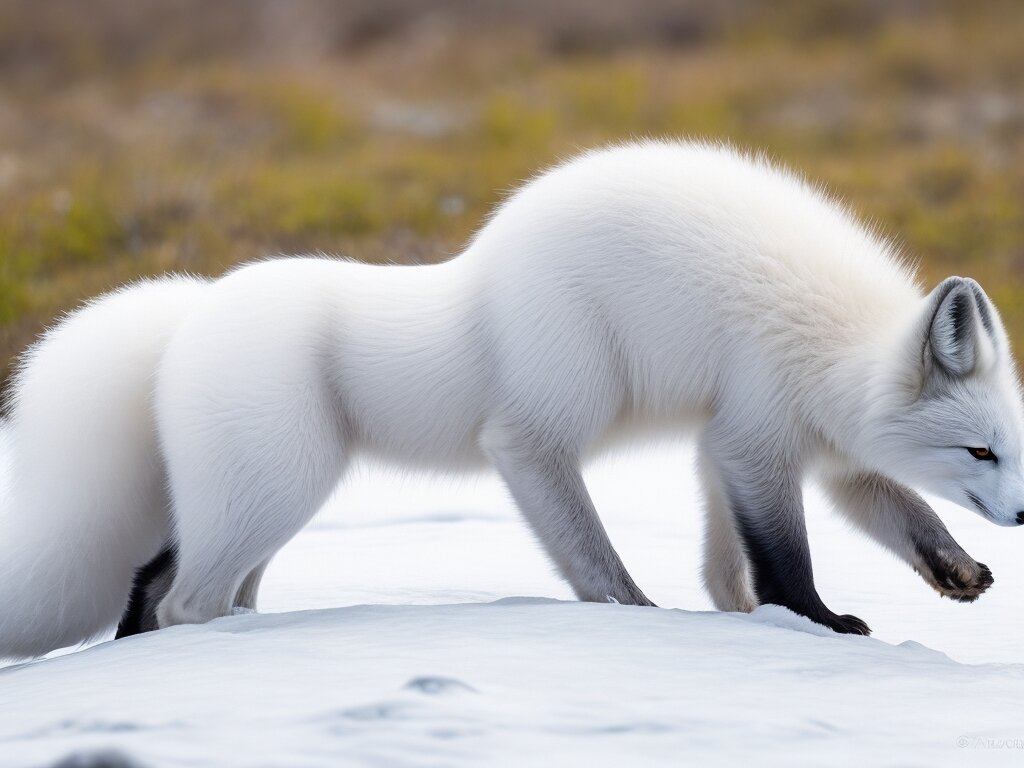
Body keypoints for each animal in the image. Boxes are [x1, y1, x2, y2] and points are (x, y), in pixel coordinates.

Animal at [2, 140, 1024, 663]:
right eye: (978, 453)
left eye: (1010, 448)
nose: (1020, 517)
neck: (831, 340)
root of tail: (194, 305)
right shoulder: (752, 438)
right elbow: (780, 559)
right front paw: (811, 625)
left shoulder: (748, 447)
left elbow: (829, 531)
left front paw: (953, 571)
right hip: (370, 466)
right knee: (186, 599)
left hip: (253, 504)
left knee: (152, 581)